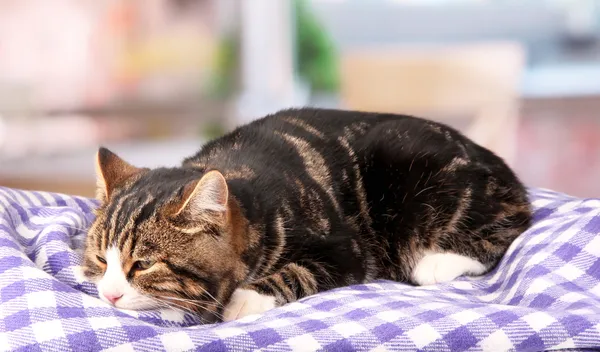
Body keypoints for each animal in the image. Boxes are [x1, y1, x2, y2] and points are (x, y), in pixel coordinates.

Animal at [79, 106, 528, 322]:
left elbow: (301, 270)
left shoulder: (348, 249)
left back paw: (437, 261)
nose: (110, 293)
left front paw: (246, 298)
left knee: (509, 225)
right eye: (101, 259)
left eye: (143, 264)